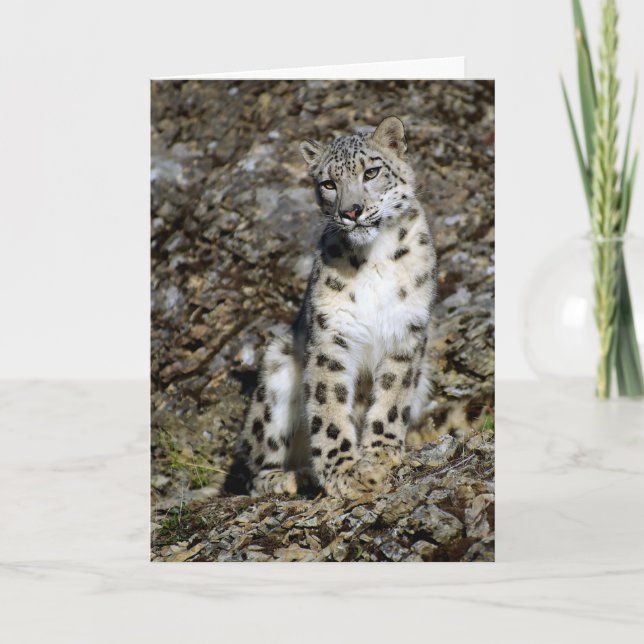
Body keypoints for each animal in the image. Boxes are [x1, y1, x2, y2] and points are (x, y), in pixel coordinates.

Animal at [237, 116, 436, 500]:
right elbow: (328, 406)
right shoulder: (332, 334)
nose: (351, 212)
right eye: (329, 183)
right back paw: (291, 477)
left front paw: (381, 454)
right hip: (276, 371)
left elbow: (392, 397)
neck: (376, 257)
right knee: (256, 468)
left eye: (371, 172)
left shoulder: (406, 330)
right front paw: (348, 473)